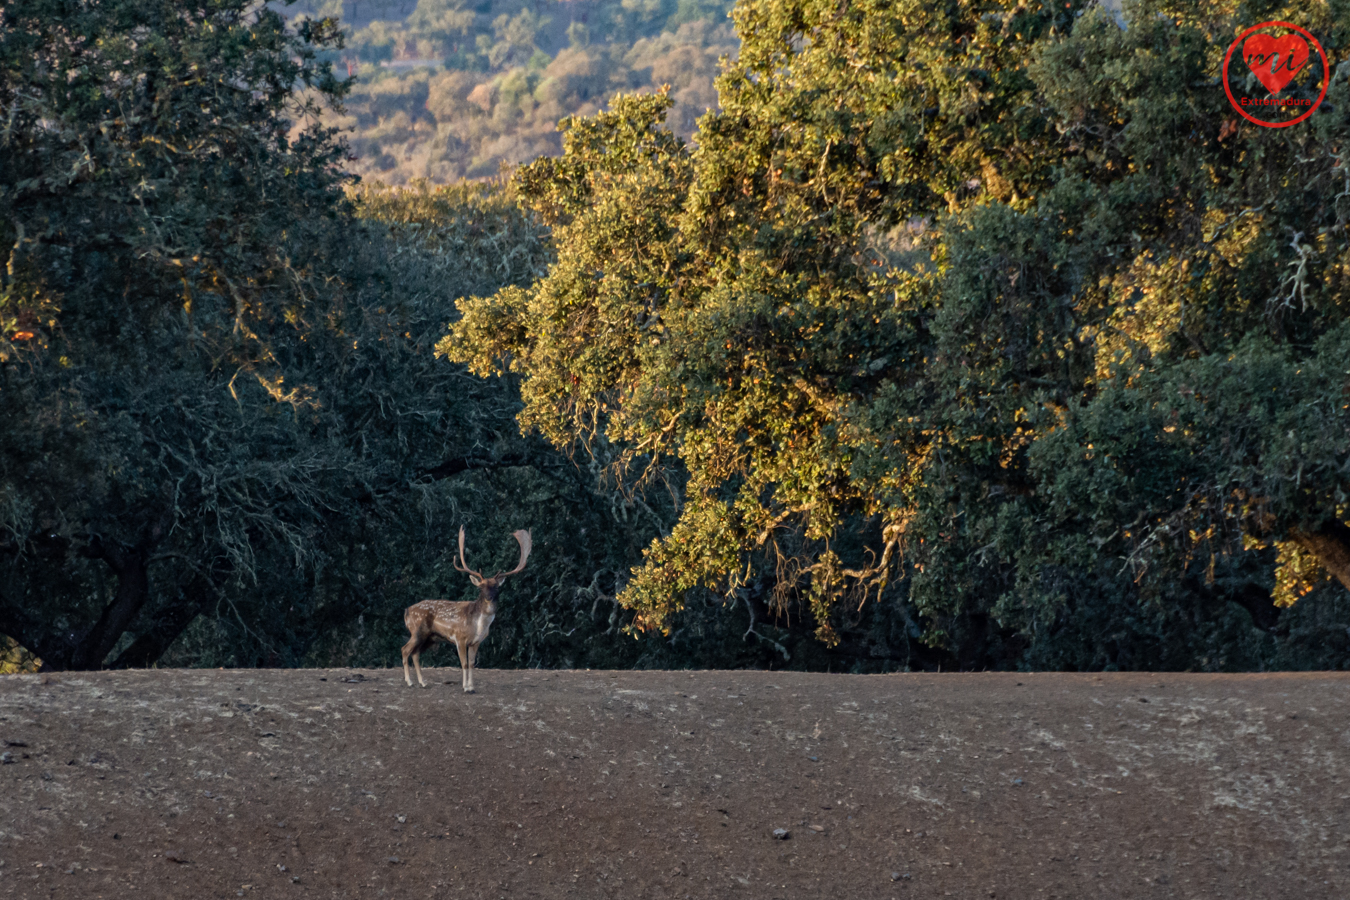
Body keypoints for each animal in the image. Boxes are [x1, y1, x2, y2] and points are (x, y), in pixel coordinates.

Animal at [396, 523, 529, 696]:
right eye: (481, 587)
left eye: (496, 587)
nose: (489, 597)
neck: (478, 625)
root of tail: (406, 611)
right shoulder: (459, 638)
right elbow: (464, 663)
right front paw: (465, 687)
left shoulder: (476, 642)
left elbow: (472, 664)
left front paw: (472, 687)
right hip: (417, 630)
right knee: (405, 650)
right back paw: (410, 682)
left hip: (429, 637)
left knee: (415, 653)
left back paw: (423, 683)